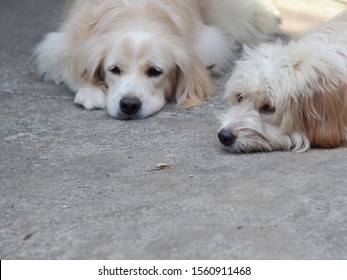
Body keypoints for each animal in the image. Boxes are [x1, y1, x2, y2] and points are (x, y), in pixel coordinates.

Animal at [34, 0, 280, 119]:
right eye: (114, 69)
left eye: (155, 71)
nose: (129, 105)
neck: (138, 15)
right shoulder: (59, 45)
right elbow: (73, 66)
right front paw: (91, 91)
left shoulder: (209, 44)